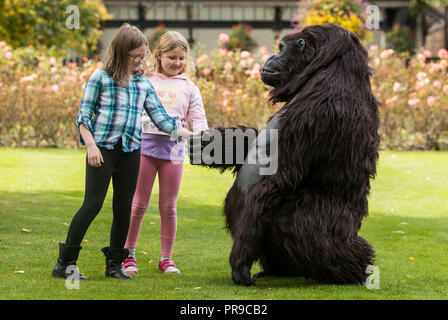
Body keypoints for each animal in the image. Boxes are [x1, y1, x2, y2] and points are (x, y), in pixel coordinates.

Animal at [188, 23, 378, 286]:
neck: (332, 66)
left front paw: (240, 263)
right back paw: (280, 269)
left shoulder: (317, 109)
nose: (271, 56)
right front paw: (217, 144)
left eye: (281, 48)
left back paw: (353, 270)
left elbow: (275, 181)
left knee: (293, 220)